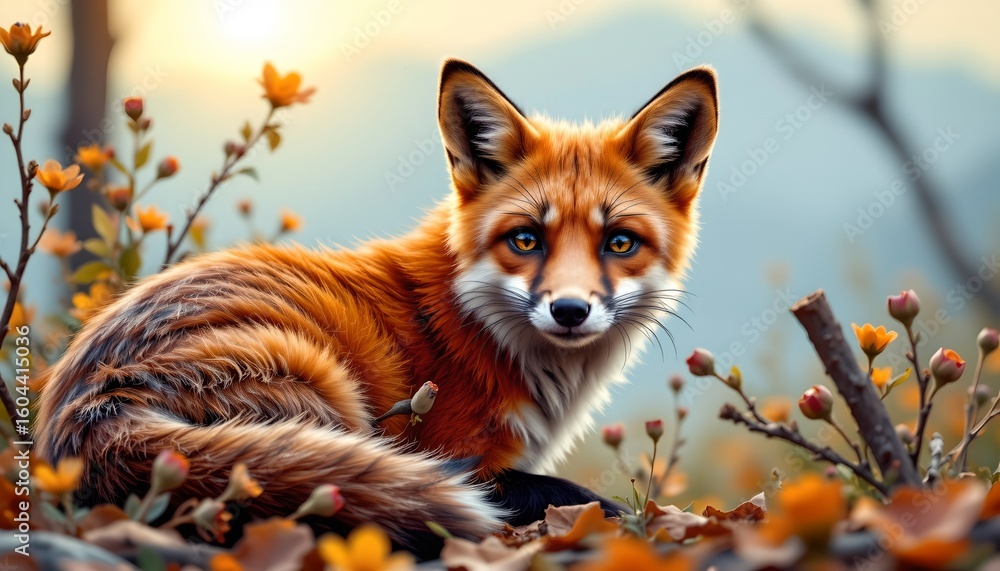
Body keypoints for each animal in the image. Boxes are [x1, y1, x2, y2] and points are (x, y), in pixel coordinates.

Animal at [35, 59, 719, 552]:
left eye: (619, 243)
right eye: (526, 240)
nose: (570, 311)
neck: (478, 331)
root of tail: (81, 409)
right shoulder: (470, 457)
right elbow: (584, 497)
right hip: (320, 384)